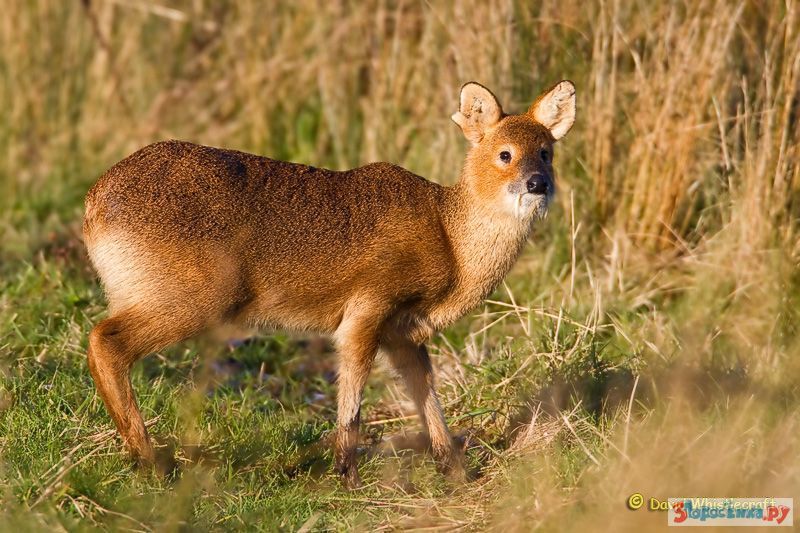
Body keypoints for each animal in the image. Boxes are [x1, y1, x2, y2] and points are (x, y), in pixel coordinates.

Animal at [83, 80, 576, 486]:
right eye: (504, 153)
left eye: (547, 152)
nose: (538, 184)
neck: (450, 243)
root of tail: (94, 204)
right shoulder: (366, 310)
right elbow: (352, 399)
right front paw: (347, 475)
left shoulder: (404, 333)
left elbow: (428, 398)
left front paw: (456, 471)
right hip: (195, 298)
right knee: (103, 341)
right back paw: (149, 462)